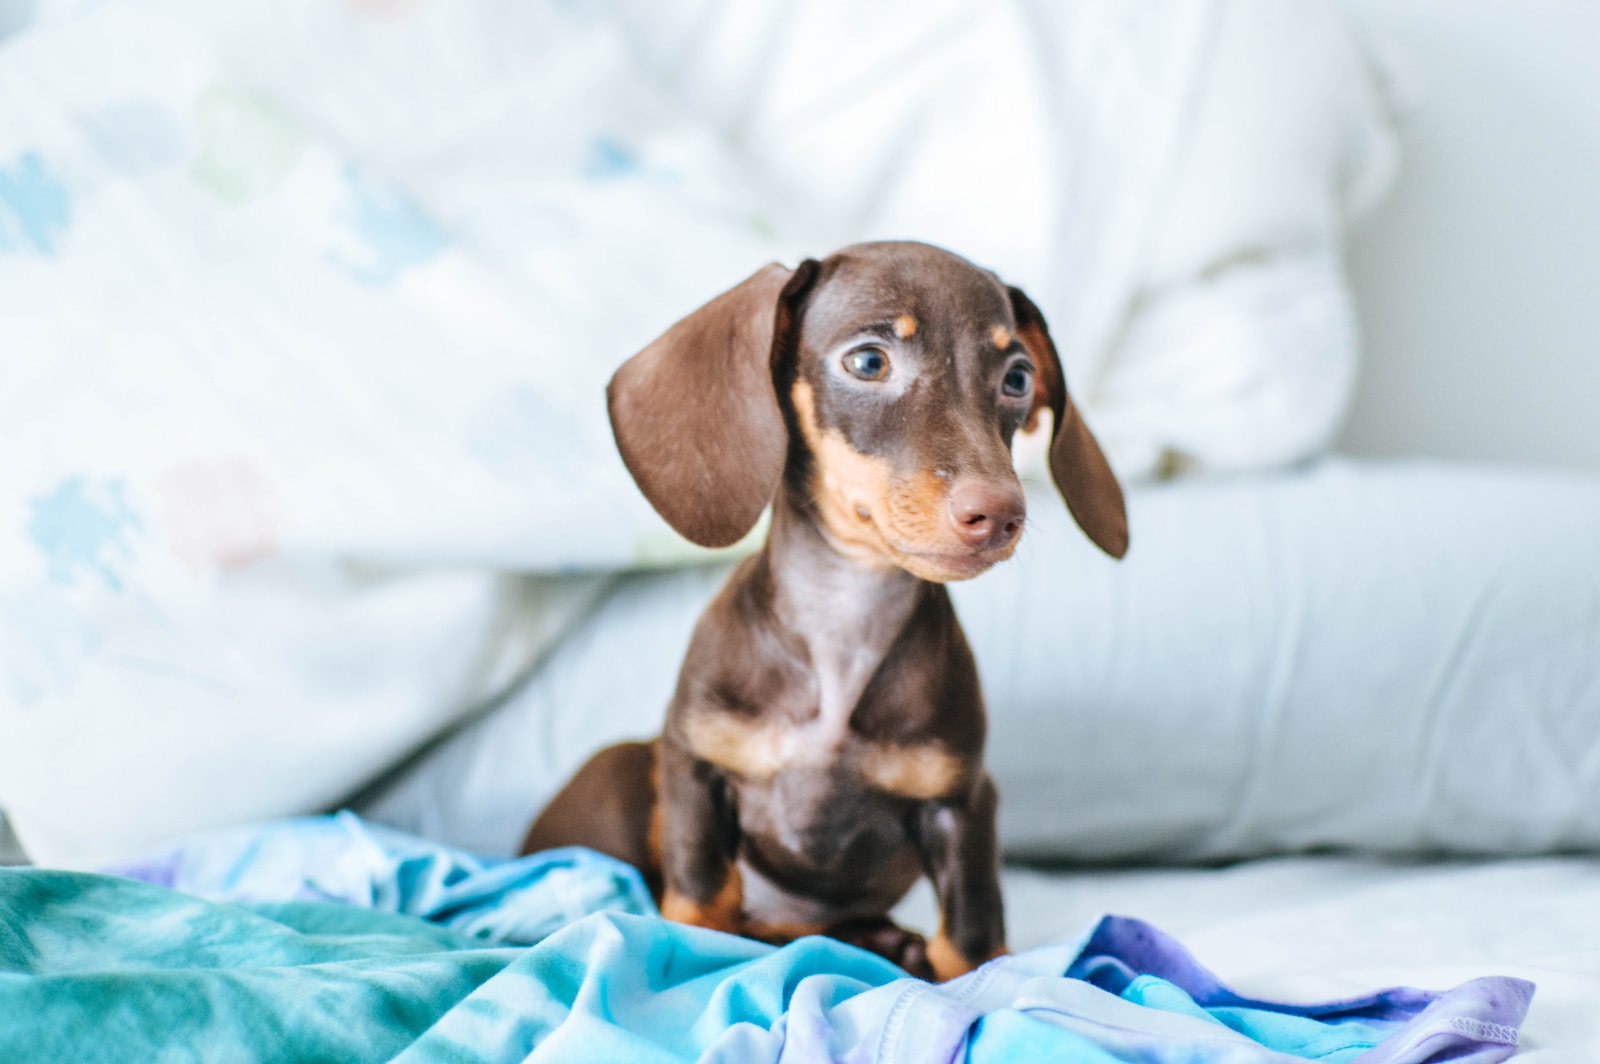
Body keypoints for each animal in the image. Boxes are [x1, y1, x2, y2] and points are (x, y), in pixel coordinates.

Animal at [524, 238, 1126, 979]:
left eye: (1017, 378)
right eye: (868, 361)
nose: (1000, 515)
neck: (843, 618)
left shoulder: (961, 802)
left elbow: (971, 936)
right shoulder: (694, 767)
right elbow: (700, 897)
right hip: (618, 776)